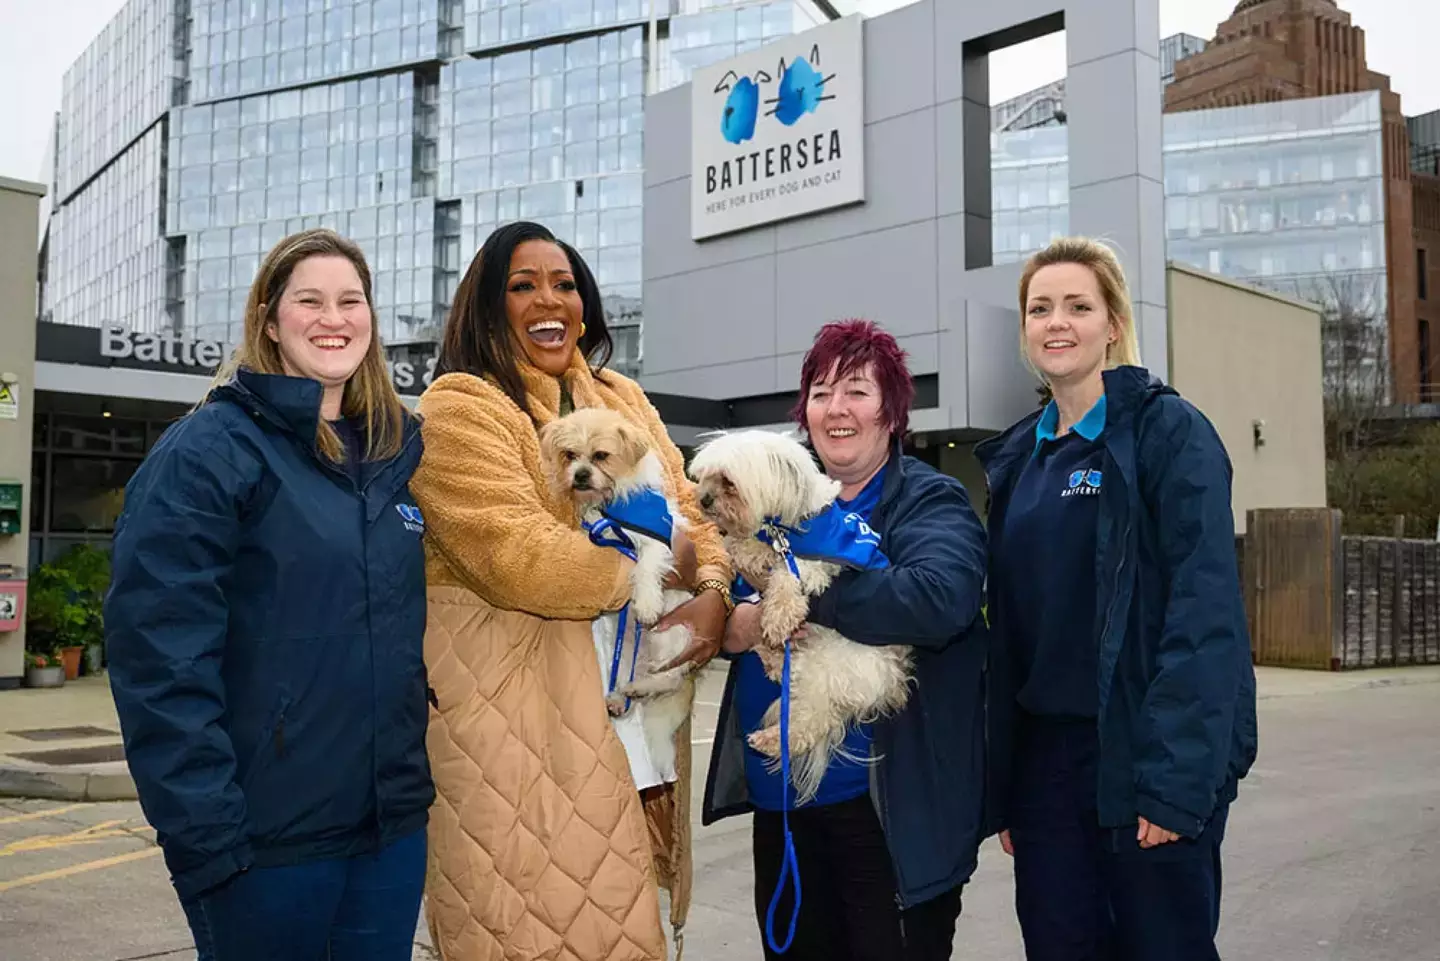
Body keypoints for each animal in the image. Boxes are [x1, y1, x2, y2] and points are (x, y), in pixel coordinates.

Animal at [541, 409, 696, 783]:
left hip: (674, 636)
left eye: (601, 456)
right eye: (570, 455)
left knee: (668, 676)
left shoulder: (656, 543)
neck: (612, 506)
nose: (580, 475)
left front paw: (647, 604)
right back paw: (622, 694)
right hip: (625, 650)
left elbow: (646, 568)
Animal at [685, 429, 910, 806]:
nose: (702, 500)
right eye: (704, 477)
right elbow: (750, 551)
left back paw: (771, 738)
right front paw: (739, 548)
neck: (783, 524)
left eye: (728, 482)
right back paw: (772, 657)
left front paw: (778, 615)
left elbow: (787, 575)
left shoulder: (816, 562)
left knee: (810, 722)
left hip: (824, 672)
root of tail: (890, 681)